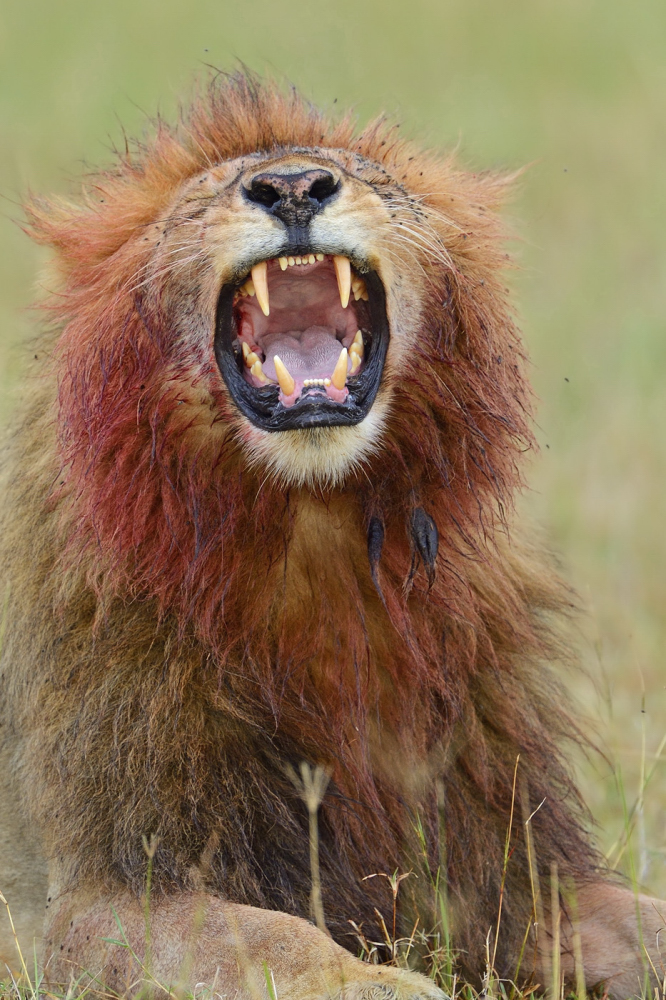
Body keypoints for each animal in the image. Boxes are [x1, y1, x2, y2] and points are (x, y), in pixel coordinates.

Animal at [0, 72, 660, 1000]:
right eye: (206, 195)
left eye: (361, 176)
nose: (291, 188)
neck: (315, 530)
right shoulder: (94, 895)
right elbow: (272, 939)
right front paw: (388, 985)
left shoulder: (511, 874)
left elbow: (641, 922)